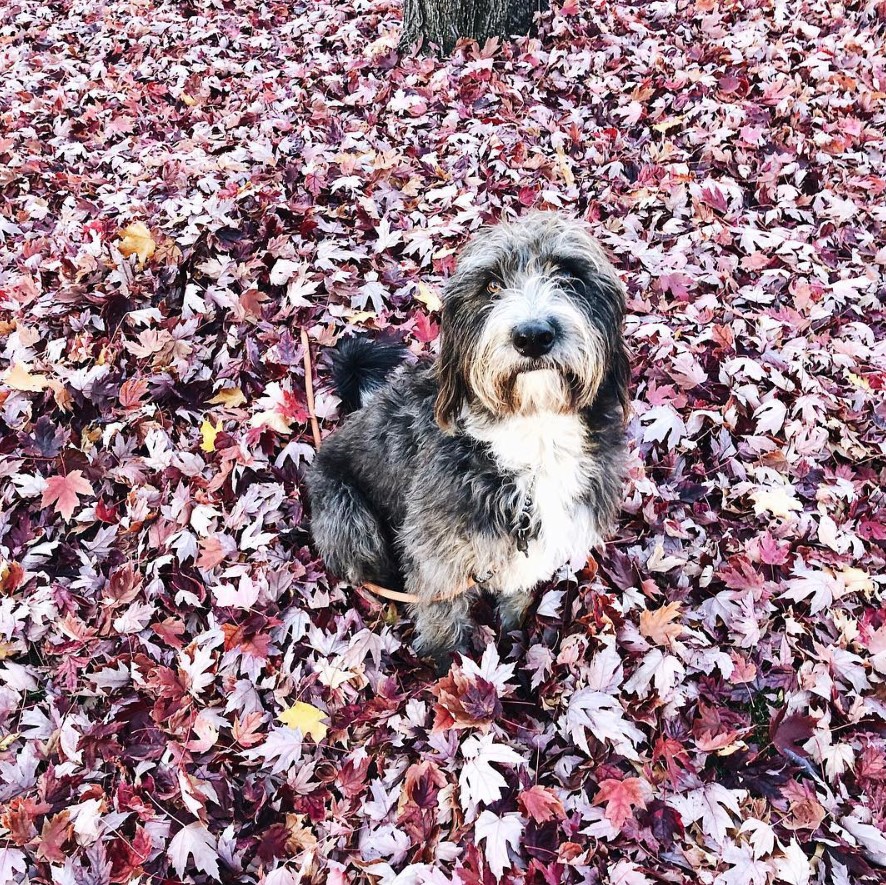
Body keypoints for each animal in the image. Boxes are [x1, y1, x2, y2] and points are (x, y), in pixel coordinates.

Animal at [306, 212, 632, 664]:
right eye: (491, 285)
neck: (534, 433)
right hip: (350, 519)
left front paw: (513, 620)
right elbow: (442, 617)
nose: (533, 335)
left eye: (570, 275)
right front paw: (445, 664)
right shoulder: (437, 558)